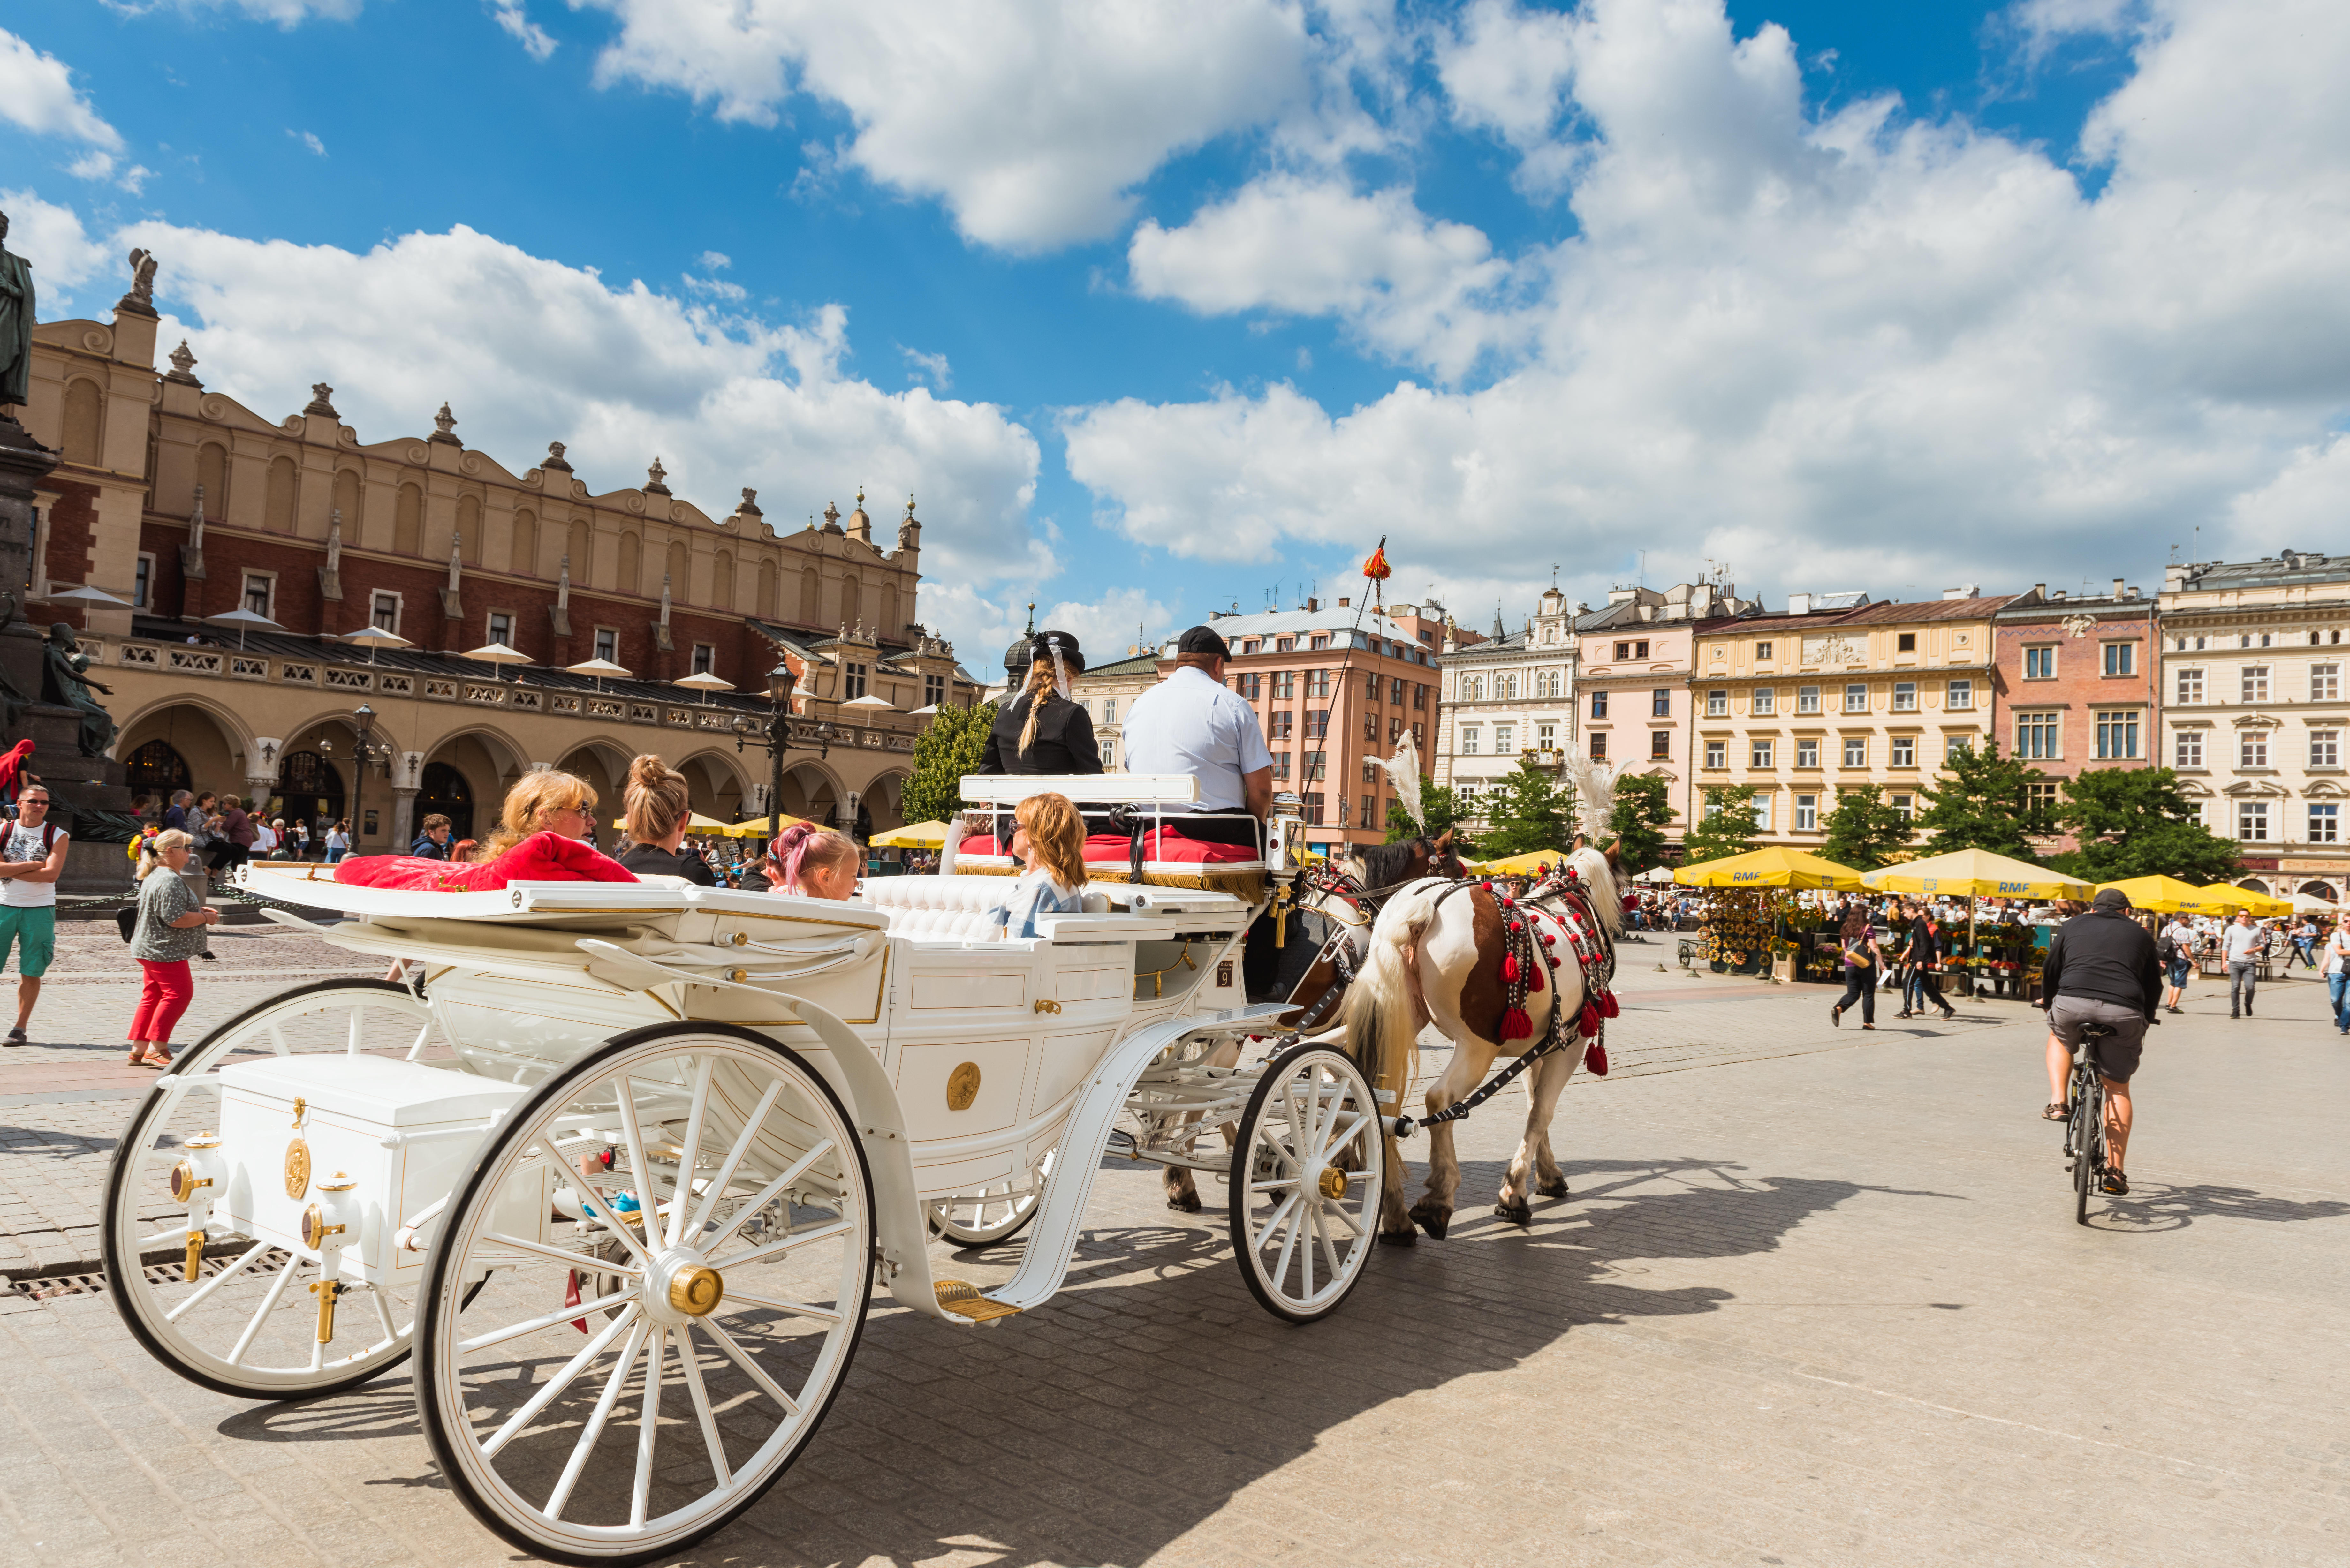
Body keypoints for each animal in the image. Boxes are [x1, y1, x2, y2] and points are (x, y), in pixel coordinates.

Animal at [1335, 846, 1626, 1241]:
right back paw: (1438, 1198)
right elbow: (1542, 1111)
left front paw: (1546, 1174)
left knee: (1380, 1107)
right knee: (1440, 1100)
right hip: (1478, 1046)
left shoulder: (1539, 1045)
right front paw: (1513, 1192)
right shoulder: (1571, 1041)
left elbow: (1534, 1105)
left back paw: (1395, 1216)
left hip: (1396, 1021)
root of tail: (1419, 906)